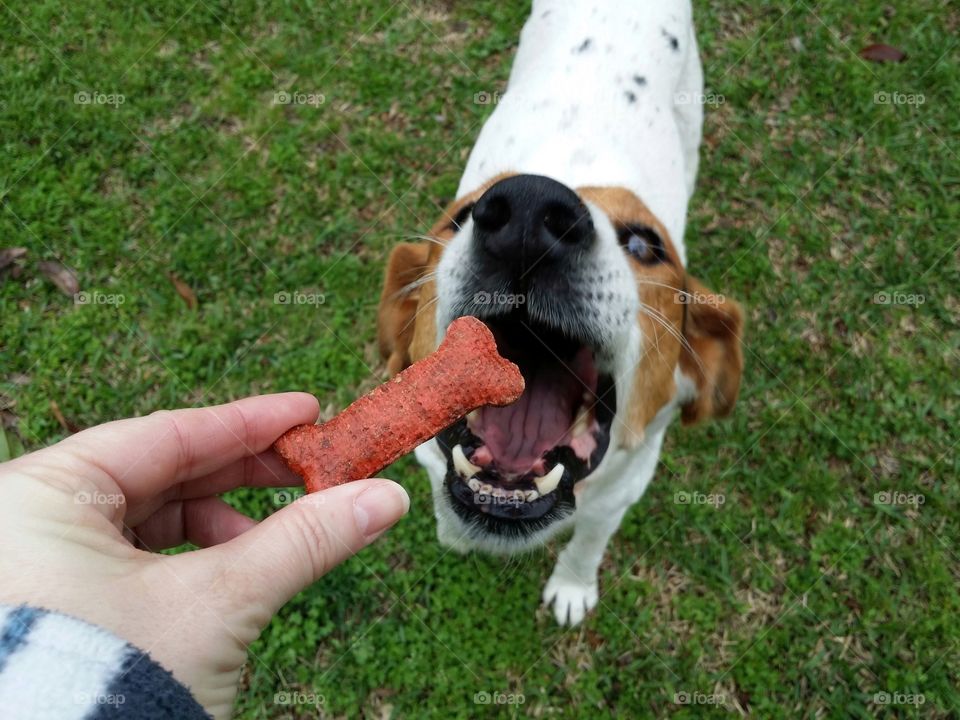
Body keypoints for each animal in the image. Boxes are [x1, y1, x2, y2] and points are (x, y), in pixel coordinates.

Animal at [376, 0, 744, 624]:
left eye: (646, 245)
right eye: (460, 216)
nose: (527, 213)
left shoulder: (617, 498)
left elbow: (587, 543)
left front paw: (572, 587)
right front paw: (452, 534)